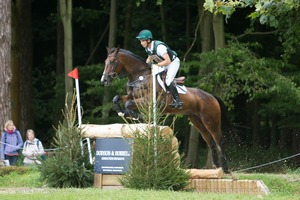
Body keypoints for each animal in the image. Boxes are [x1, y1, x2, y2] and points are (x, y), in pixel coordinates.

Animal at [101, 46, 230, 173]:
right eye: (105, 61)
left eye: (112, 61)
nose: (104, 80)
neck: (140, 77)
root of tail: (211, 96)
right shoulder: (131, 97)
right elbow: (116, 98)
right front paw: (123, 113)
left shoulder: (148, 100)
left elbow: (128, 104)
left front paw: (136, 116)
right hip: (197, 121)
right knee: (211, 142)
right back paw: (216, 167)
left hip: (210, 121)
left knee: (219, 141)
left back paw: (225, 169)